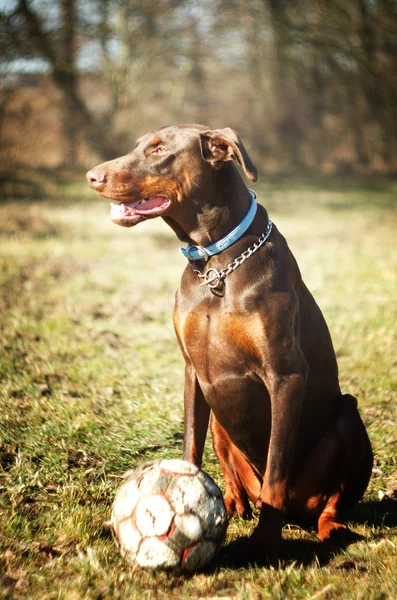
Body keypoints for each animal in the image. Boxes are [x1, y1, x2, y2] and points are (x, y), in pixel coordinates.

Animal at [86, 124, 372, 552]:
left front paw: (265, 542)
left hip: (346, 418)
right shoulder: (192, 372)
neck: (215, 262)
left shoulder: (285, 375)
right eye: (138, 145)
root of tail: (299, 513)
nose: (92, 176)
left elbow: (276, 469)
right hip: (220, 413)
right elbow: (191, 447)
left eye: (159, 150)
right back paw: (234, 503)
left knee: (327, 495)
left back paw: (329, 526)